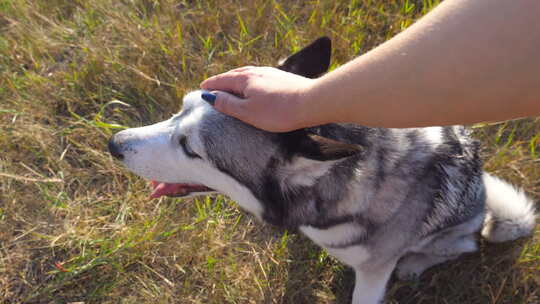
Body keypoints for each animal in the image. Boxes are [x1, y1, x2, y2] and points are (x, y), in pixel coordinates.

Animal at [108, 38, 536, 304]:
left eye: (189, 149)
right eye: (180, 108)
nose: (114, 144)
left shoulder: (373, 276)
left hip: (456, 232)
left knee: (463, 245)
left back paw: (416, 263)